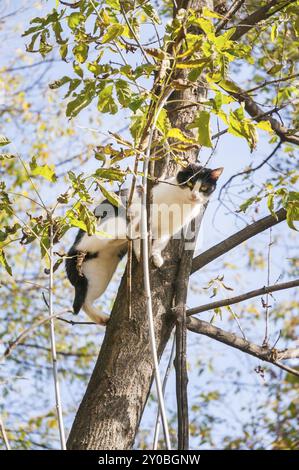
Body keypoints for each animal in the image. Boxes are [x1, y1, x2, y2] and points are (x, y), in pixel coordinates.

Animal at [67, 164, 224, 324]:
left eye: (204, 187)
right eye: (190, 183)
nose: (194, 196)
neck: (182, 203)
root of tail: (74, 248)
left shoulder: (169, 229)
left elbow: (161, 242)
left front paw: (156, 256)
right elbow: (140, 234)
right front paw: (140, 252)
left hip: (99, 272)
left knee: (85, 302)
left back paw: (102, 318)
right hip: (108, 224)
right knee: (118, 230)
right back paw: (131, 230)